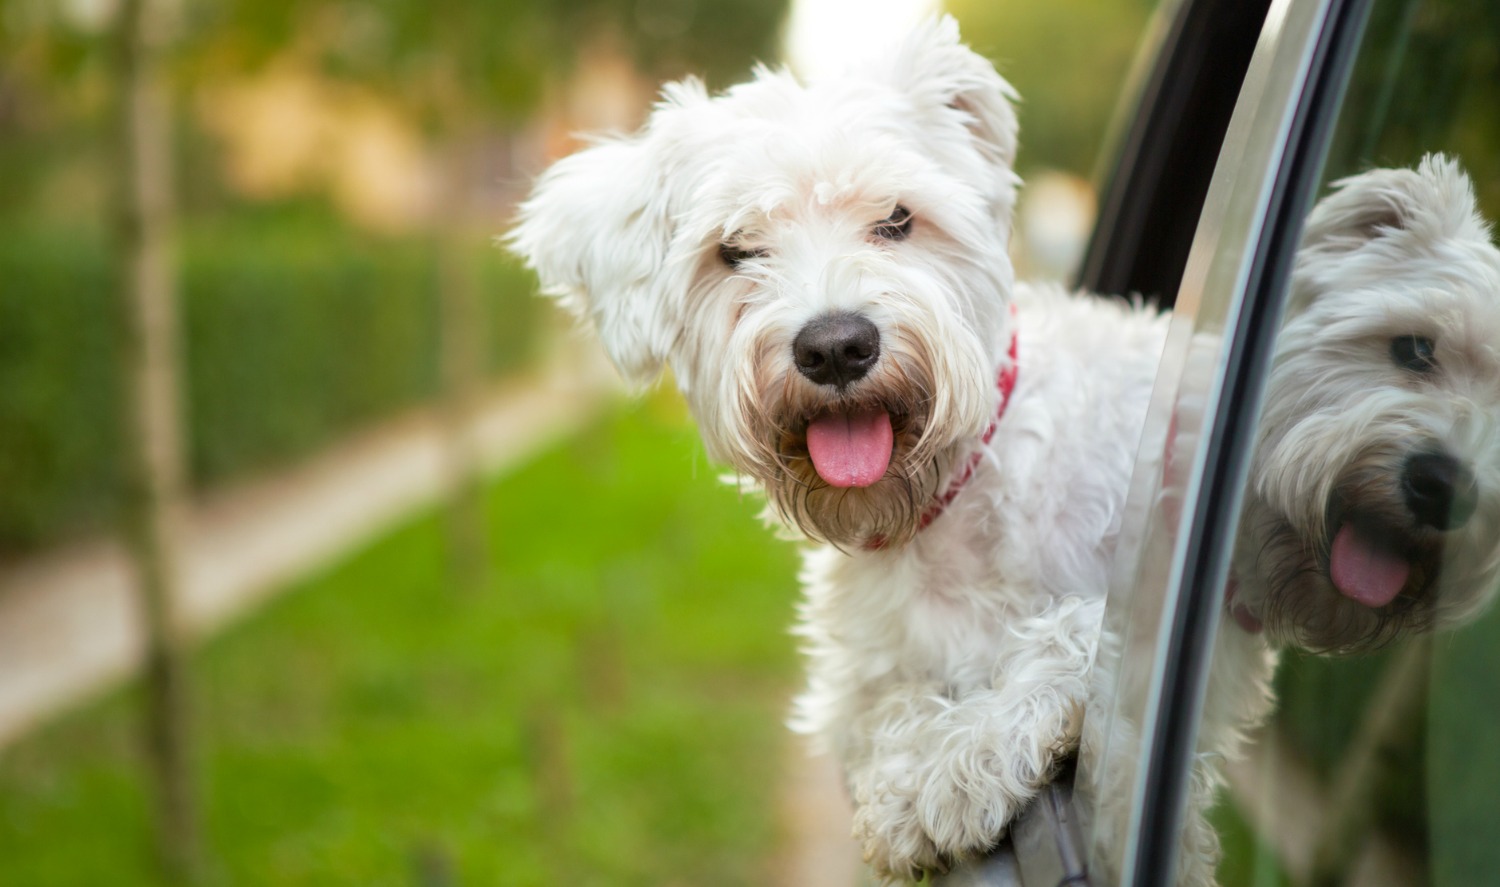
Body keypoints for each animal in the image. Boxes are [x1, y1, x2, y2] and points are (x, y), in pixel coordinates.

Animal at [510, 19, 1164, 882]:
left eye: (896, 218)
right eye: (736, 249)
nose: (835, 347)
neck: (942, 508)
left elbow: (1073, 632)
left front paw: (954, 767)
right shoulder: (859, 684)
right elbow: (884, 710)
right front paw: (910, 776)